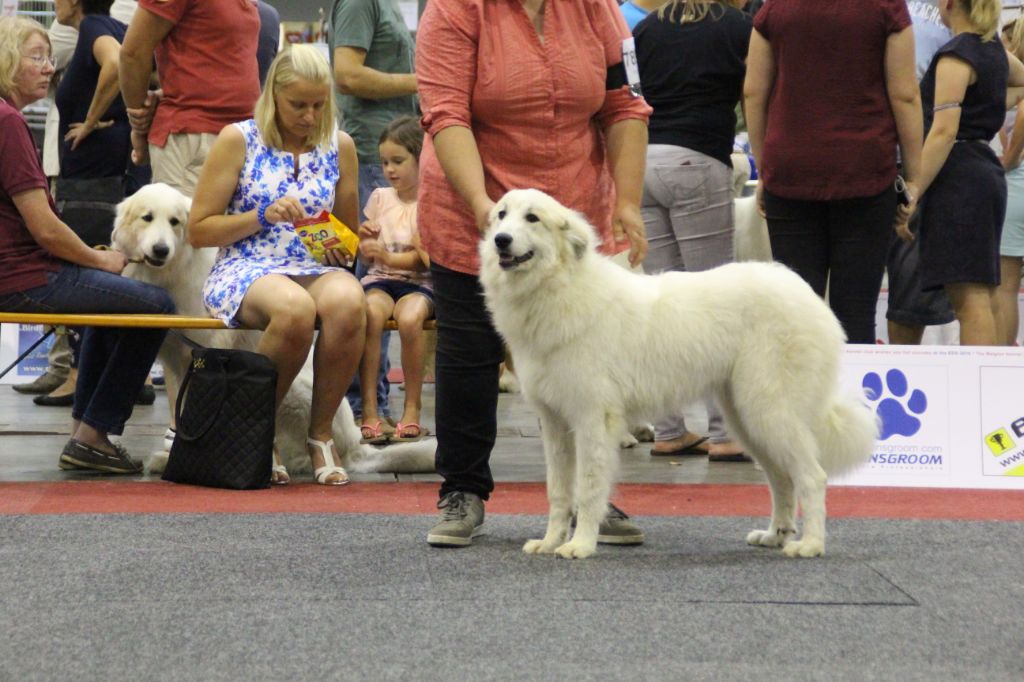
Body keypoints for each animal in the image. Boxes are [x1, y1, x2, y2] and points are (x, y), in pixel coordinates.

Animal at [113, 183, 436, 475]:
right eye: (147, 218)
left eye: (174, 222)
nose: (160, 249)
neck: (172, 272)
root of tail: (356, 448)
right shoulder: (175, 358)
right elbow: (178, 412)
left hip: (295, 393)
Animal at [481, 187, 880, 557]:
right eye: (501, 215)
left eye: (532, 218)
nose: (501, 240)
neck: (559, 286)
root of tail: (807, 294)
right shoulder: (554, 423)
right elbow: (558, 492)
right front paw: (549, 542)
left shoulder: (593, 418)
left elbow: (589, 488)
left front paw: (580, 545)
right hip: (747, 418)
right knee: (783, 478)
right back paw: (774, 535)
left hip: (769, 410)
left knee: (813, 477)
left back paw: (809, 544)